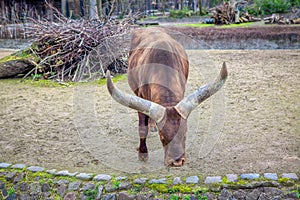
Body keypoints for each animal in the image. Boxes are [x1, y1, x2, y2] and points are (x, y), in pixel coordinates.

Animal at [106, 27, 226, 166]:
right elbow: (142, 128)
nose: (177, 162)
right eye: (162, 136)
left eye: (184, 134)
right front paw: (142, 154)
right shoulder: (140, 97)